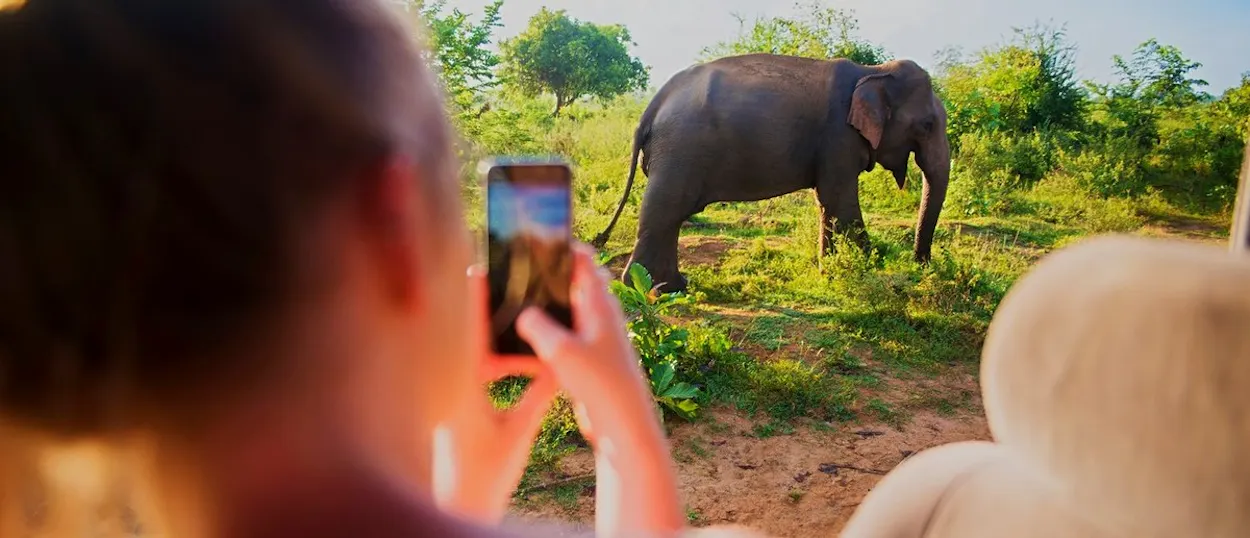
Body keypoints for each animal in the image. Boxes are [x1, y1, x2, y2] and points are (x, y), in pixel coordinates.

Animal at [590, 53, 951, 294]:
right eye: (926, 125)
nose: (921, 266)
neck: (873, 72)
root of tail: (651, 106)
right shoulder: (838, 136)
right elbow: (841, 202)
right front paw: (871, 274)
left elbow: (829, 204)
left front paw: (831, 275)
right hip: (680, 148)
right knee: (665, 209)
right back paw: (650, 290)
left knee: (670, 217)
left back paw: (674, 287)